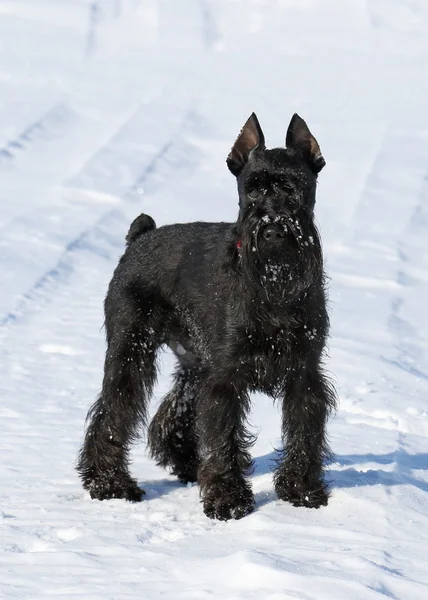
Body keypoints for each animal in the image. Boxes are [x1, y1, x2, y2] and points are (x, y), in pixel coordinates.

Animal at [77, 112, 338, 520]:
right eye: (252, 190)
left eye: (293, 188)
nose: (273, 228)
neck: (273, 284)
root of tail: (140, 237)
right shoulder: (225, 378)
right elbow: (222, 437)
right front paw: (228, 500)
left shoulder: (303, 373)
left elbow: (303, 432)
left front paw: (302, 491)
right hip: (131, 350)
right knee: (112, 413)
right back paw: (110, 484)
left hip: (194, 361)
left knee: (173, 412)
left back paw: (186, 465)